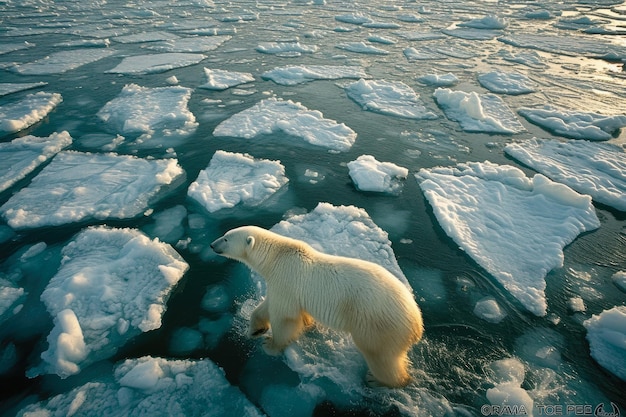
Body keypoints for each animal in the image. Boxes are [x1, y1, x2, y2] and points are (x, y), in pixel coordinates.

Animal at [211, 224, 424, 386]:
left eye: (226, 238)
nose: (212, 244)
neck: (277, 256)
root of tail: (417, 323)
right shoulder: (281, 284)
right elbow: (268, 307)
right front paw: (256, 330)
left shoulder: (286, 278)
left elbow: (285, 317)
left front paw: (270, 345)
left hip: (379, 324)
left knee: (380, 356)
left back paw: (380, 380)